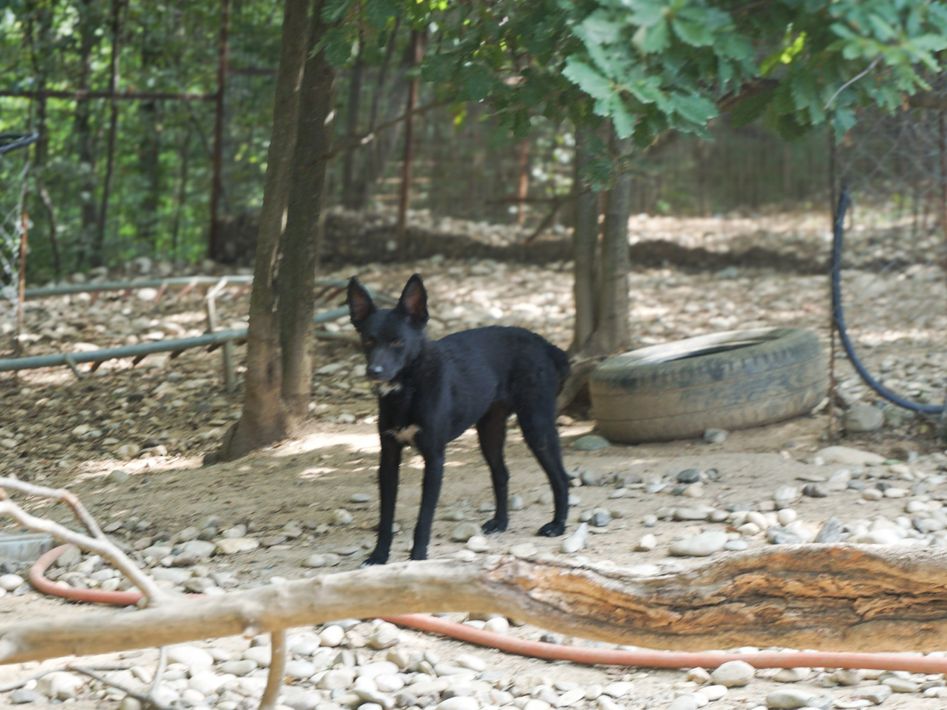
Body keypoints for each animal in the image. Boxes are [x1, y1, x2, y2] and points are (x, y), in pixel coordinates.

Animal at [347, 273, 571, 565]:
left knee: (561, 477)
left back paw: (557, 525)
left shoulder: (434, 459)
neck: (408, 387)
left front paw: (417, 558)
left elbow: (424, 517)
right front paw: (379, 556)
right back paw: (500, 522)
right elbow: (386, 516)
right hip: (489, 430)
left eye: (397, 342)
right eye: (369, 341)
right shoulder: (388, 458)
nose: (374, 371)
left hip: (537, 425)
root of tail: (543, 344)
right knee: (501, 473)